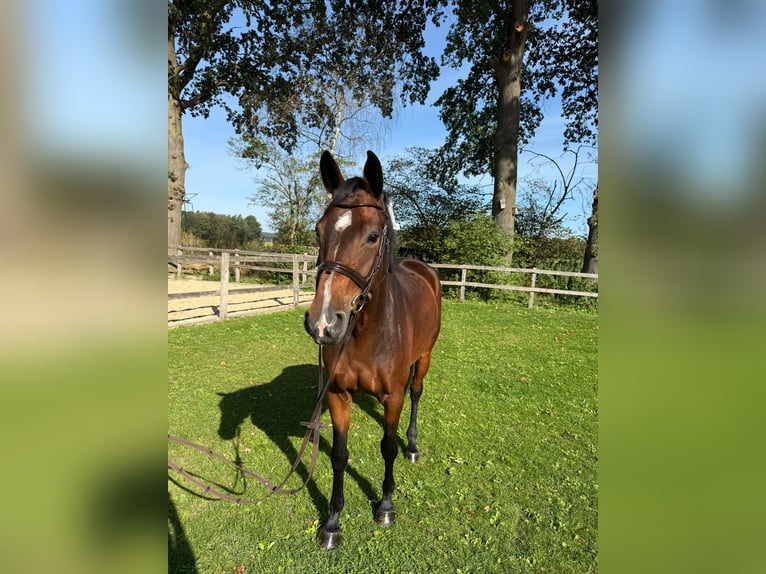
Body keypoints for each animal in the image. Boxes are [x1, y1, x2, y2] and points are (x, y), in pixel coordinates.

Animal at [304, 150, 442, 549]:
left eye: (373, 235)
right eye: (319, 230)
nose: (323, 323)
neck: (367, 332)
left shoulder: (392, 396)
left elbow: (387, 447)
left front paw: (385, 506)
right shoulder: (337, 394)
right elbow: (338, 455)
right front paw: (332, 523)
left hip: (424, 359)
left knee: (416, 394)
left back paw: (412, 446)